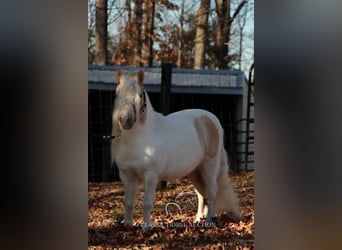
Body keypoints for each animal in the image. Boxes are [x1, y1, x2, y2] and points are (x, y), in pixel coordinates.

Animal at [111, 69, 240, 229]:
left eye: (140, 95)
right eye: (117, 94)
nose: (124, 120)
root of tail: (210, 119)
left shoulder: (151, 176)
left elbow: (146, 204)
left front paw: (146, 228)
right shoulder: (126, 175)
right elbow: (128, 202)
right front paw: (128, 226)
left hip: (209, 167)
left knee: (212, 192)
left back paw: (209, 221)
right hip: (195, 171)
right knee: (201, 194)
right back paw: (197, 220)